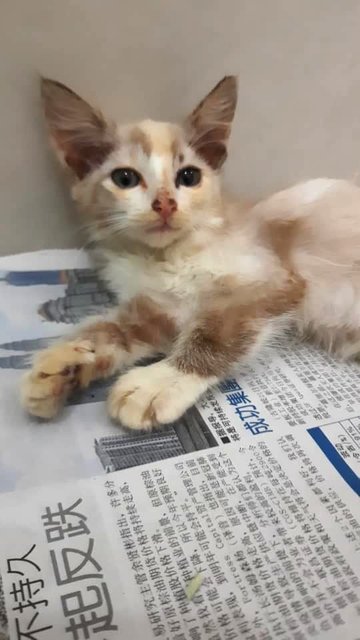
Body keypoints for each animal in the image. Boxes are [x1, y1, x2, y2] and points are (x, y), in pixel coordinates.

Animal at [21, 76, 360, 430]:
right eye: (125, 178)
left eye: (189, 177)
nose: (165, 204)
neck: (163, 257)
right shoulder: (163, 306)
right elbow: (119, 328)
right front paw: (66, 361)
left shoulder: (272, 280)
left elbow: (214, 333)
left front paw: (160, 382)